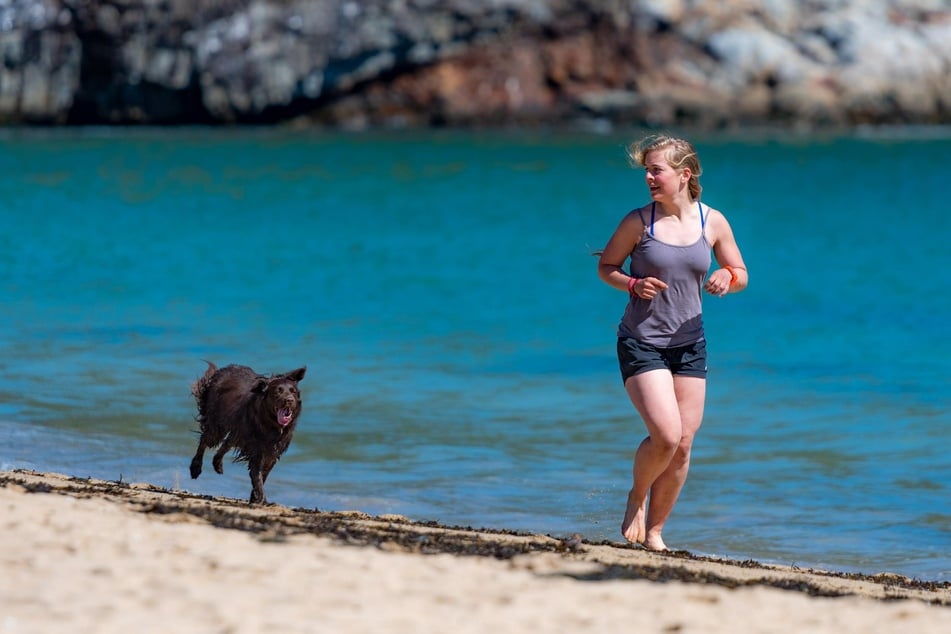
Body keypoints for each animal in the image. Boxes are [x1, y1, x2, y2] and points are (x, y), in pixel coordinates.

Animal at [186, 360, 304, 504]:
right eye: (278, 391)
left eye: (293, 392)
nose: (289, 400)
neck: (271, 424)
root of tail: (223, 370)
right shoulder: (257, 449)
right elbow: (257, 475)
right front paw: (260, 497)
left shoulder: (273, 452)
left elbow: (264, 474)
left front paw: (255, 497)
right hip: (217, 424)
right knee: (205, 440)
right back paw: (195, 468)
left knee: (227, 442)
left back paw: (217, 463)